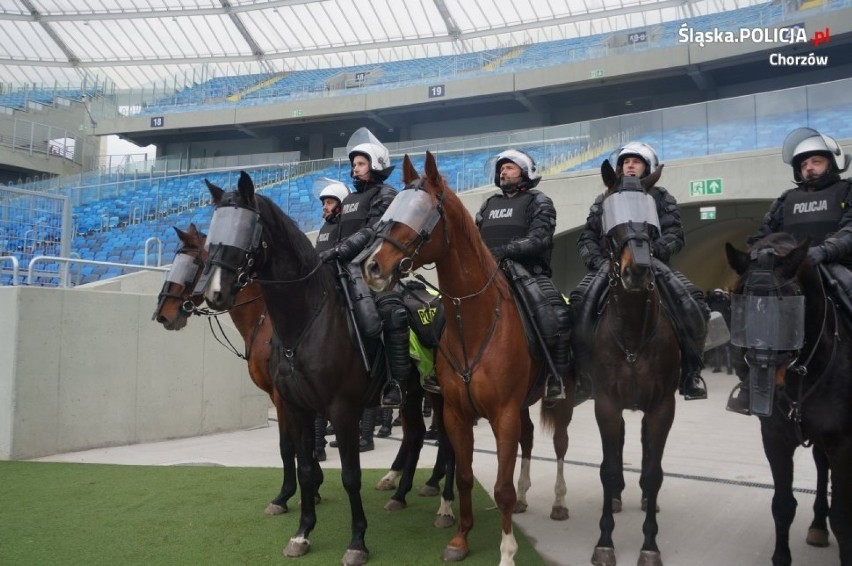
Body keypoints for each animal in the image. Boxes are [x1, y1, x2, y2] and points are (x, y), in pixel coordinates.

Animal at [360, 153, 572, 564]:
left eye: (422, 212)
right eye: (392, 209)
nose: (372, 267)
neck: (474, 324)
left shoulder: (502, 414)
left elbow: (500, 487)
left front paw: (507, 551)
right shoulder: (457, 412)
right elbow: (463, 474)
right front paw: (460, 538)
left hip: (561, 400)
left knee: (558, 445)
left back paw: (557, 502)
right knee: (528, 440)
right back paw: (525, 497)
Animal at [724, 232, 852, 566]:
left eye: (791, 299)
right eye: (738, 296)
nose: (758, 367)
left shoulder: (843, 443)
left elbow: (843, 517)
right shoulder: (776, 438)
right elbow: (782, 506)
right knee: (821, 465)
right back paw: (818, 524)